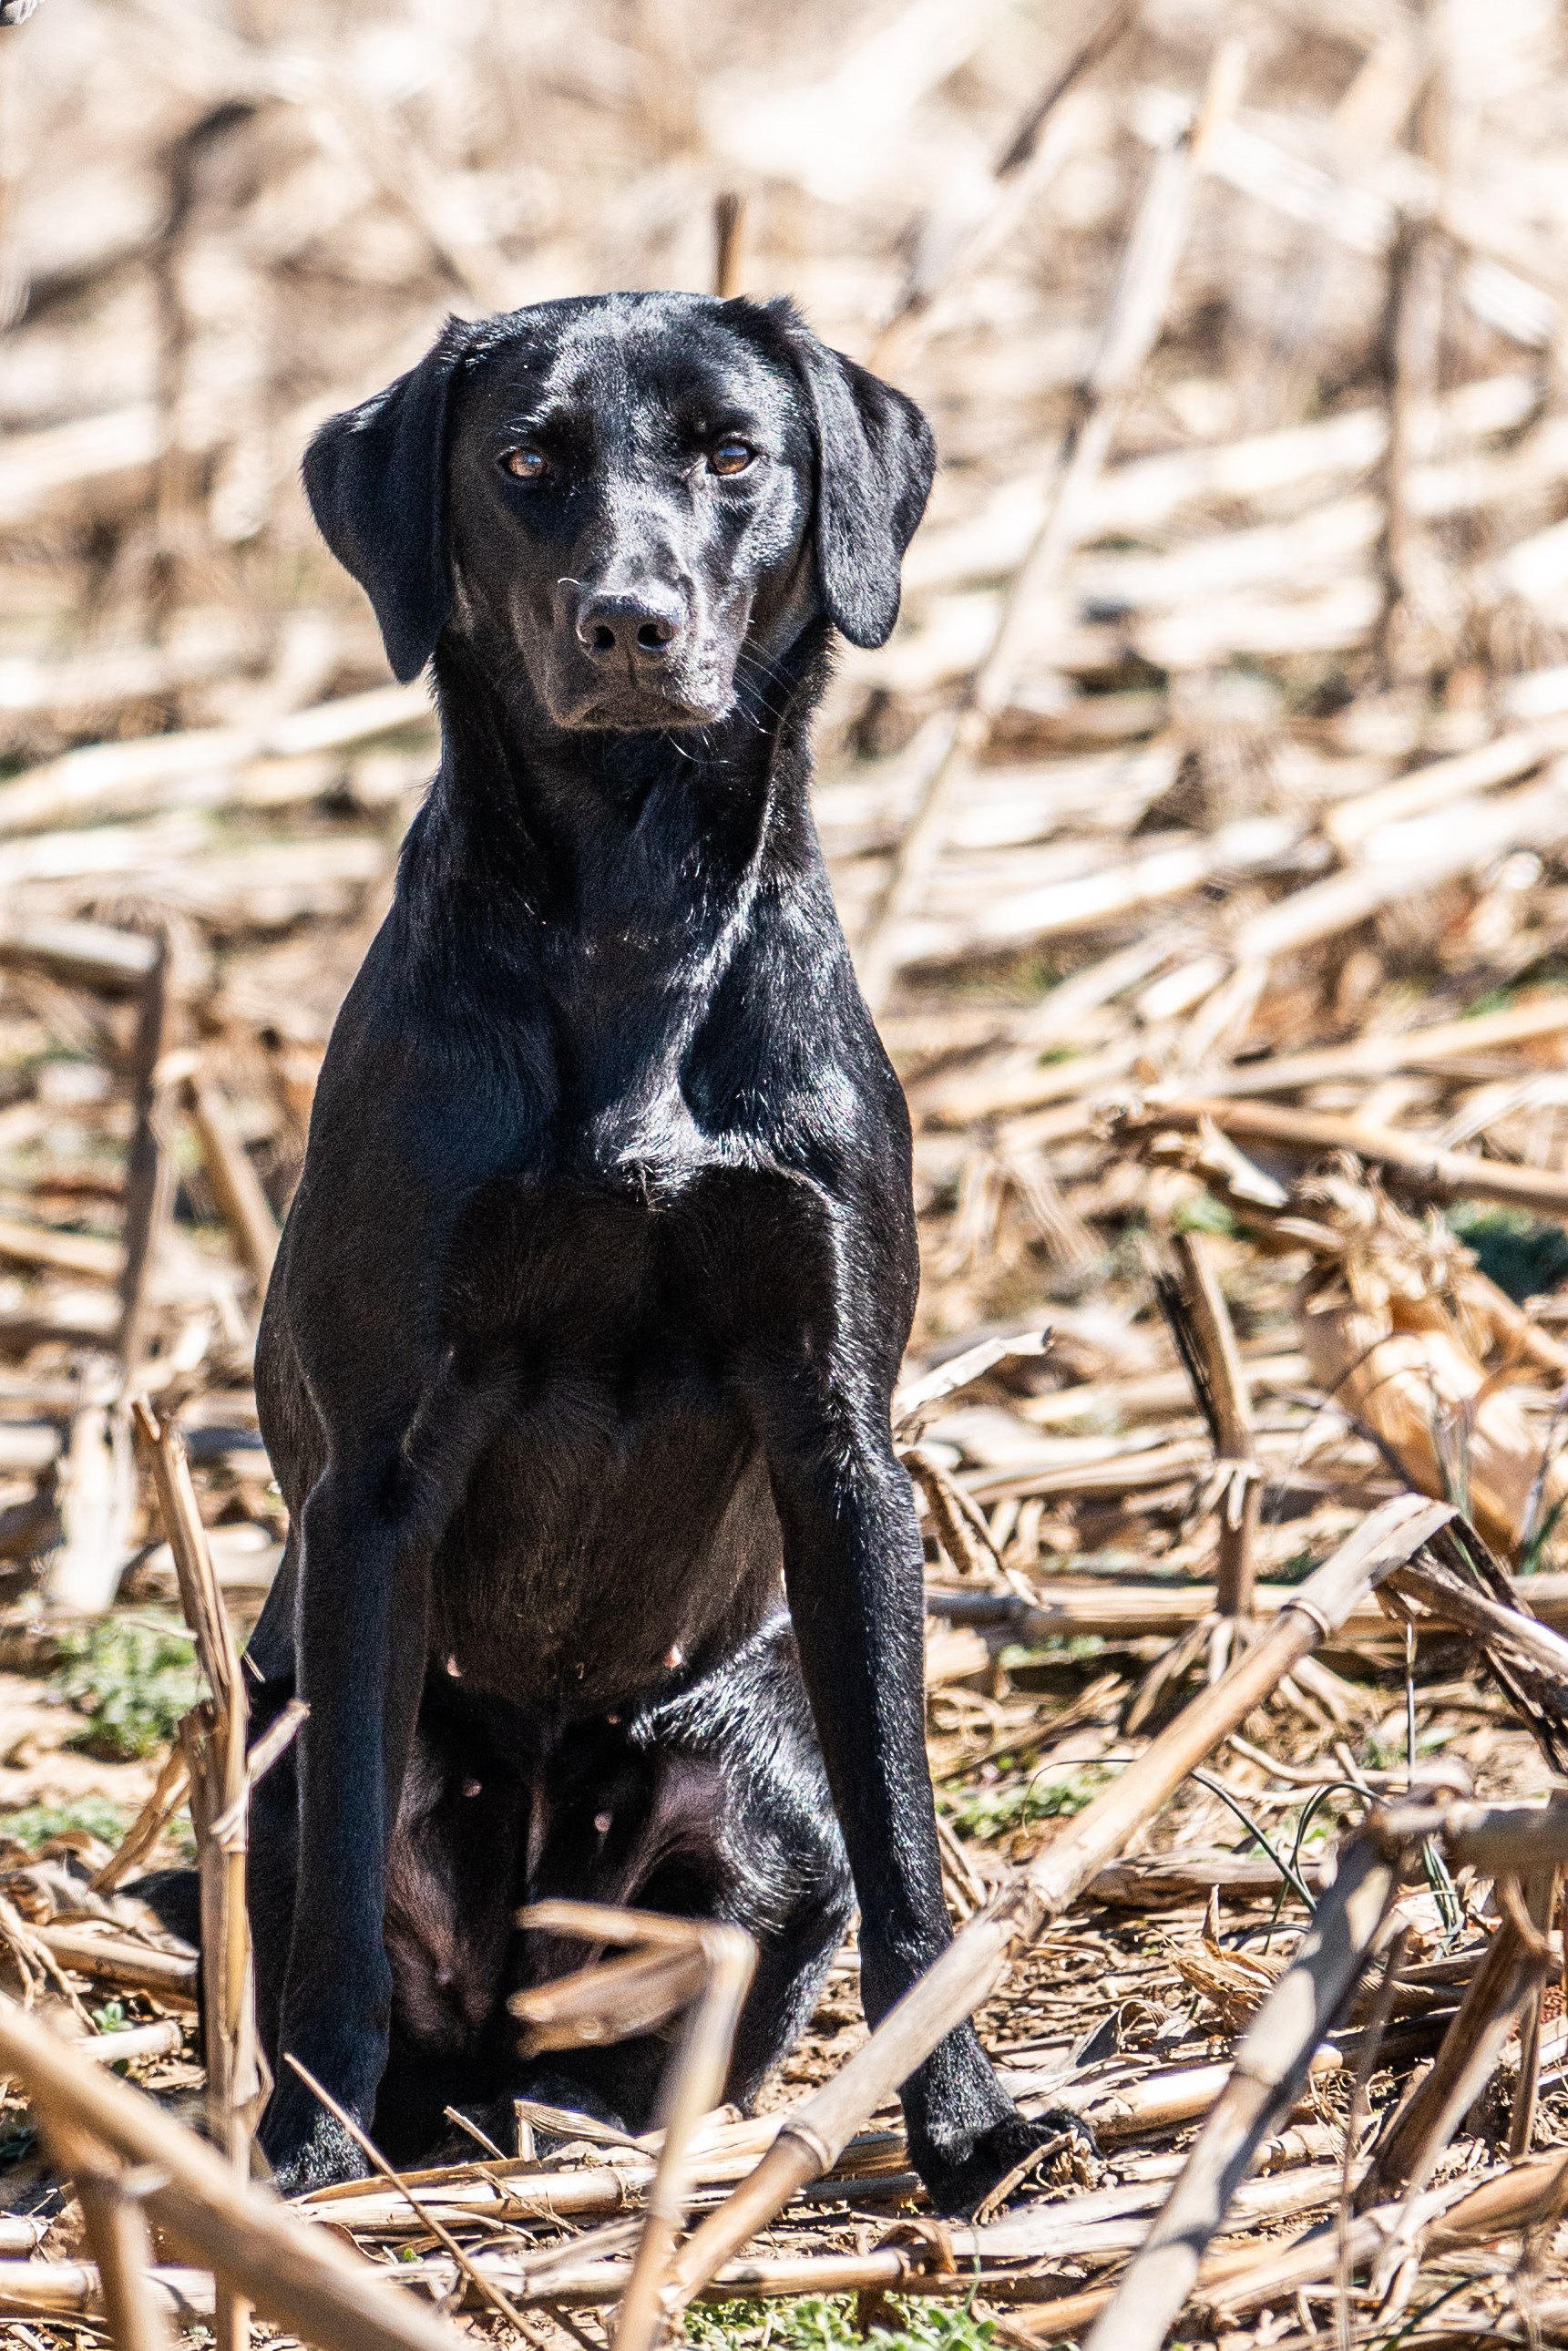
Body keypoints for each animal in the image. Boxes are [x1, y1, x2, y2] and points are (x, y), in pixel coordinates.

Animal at [248, 284, 1067, 2210]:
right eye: (525, 460)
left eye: (734, 451)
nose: (632, 620)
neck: (629, 921)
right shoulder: (373, 1486)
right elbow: (338, 1902)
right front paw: (302, 2154)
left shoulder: (839, 1439)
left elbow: (910, 1846)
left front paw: (965, 2125)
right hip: (288, 1717)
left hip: (748, 1773)